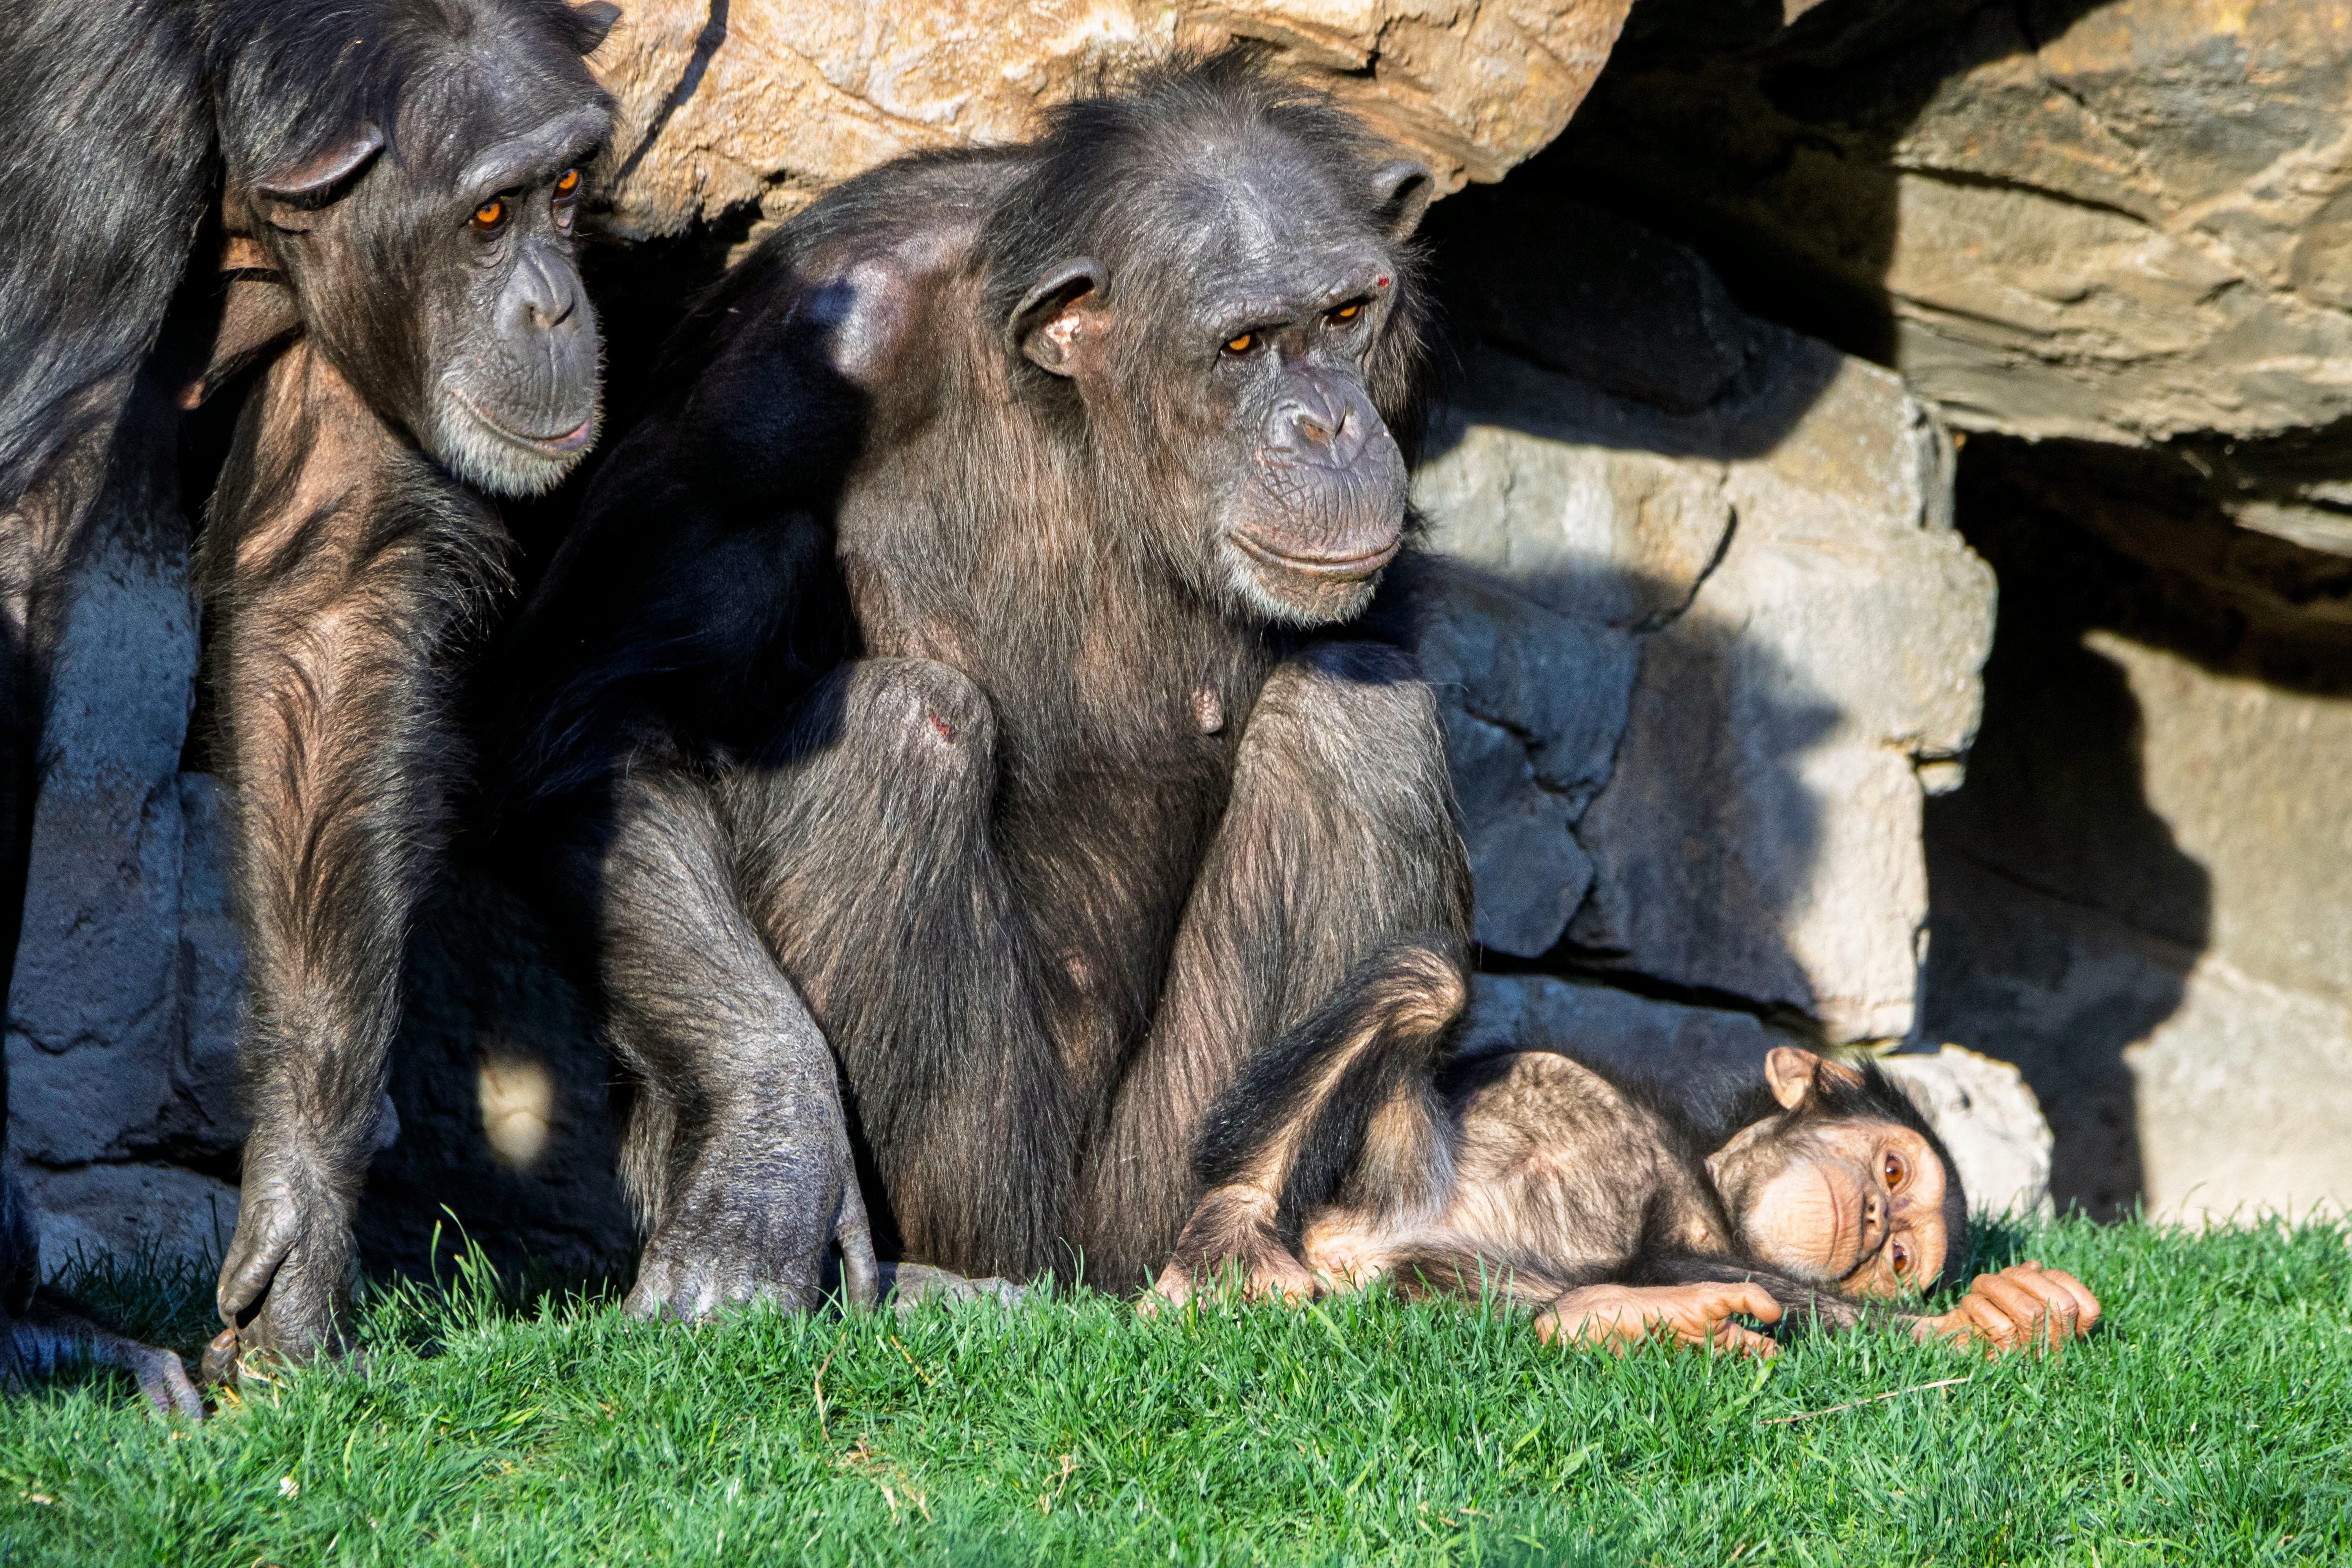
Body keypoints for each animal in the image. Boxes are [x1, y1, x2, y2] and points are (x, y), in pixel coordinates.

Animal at [0, 0, 618, 1378]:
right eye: (487, 216)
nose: (557, 307)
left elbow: (334, 590)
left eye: (562, 190)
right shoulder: (78, 160)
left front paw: (296, 1239)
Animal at [487, 52, 1474, 1318]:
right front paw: (767, 1144)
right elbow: (606, 716)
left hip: (1153, 1182)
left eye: (1347, 316)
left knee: (1354, 713)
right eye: (1243, 345)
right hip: (997, 1196)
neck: (1077, 407)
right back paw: (923, 1275)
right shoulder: (768, 384)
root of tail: (1070, 1276)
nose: (1328, 426)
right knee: (901, 725)